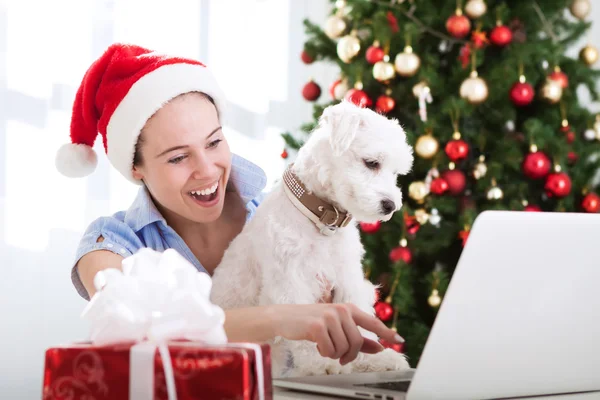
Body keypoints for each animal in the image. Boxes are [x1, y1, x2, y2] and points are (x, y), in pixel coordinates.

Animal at [210, 100, 412, 378]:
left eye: (396, 173)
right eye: (371, 163)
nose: (391, 205)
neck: (322, 223)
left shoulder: (348, 279)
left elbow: (359, 324)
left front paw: (374, 360)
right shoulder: (290, 283)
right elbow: (307, 334)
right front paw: (320, 363)